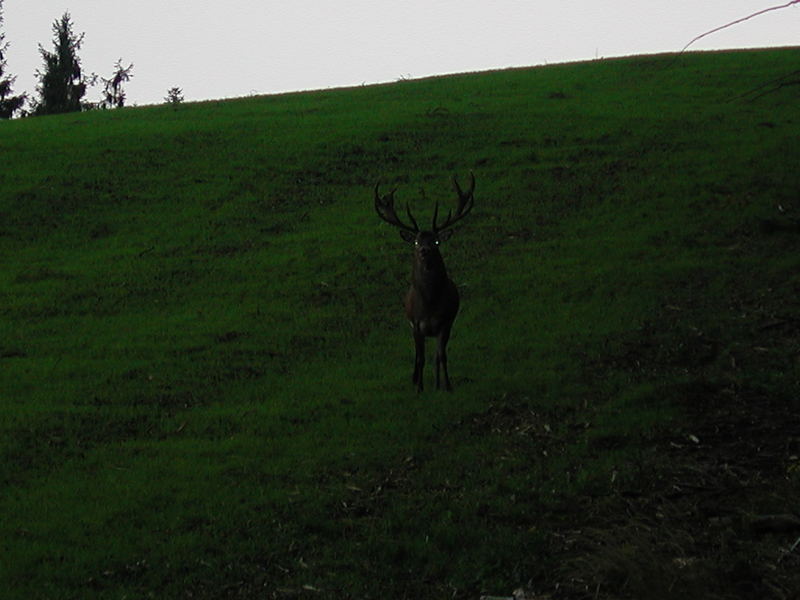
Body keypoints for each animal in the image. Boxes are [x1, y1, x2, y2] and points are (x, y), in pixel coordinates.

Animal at [376, 171, 476, 392]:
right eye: (416, 241)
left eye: (436, 241)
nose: (424, 250)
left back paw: (437, 383)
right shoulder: (416, 324)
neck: (429, 305)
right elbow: (421, 358)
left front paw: (446, 386)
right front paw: (419, 388)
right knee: (418, 356)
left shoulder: (445, 323)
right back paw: (416, 378)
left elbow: (441, 356)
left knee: (436, 357)